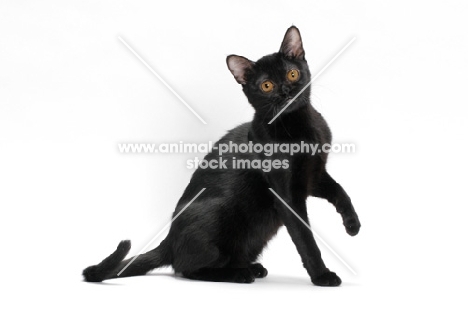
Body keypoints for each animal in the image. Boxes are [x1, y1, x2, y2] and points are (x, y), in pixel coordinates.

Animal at [84, 26, 360, 288]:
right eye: (266, 86)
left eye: (292, 74)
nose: (285, 92)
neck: (299, 126)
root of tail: (169, 241)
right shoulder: (286, 195)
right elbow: (305, 239)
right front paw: (322, 275)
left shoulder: (314, 175)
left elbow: (340, 191)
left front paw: (352, 224)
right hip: (218, 214)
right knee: (187, 269)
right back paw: (239, 274)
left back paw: (251, 267)